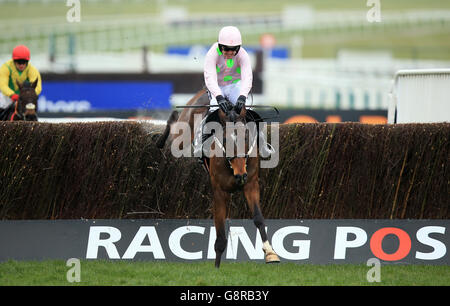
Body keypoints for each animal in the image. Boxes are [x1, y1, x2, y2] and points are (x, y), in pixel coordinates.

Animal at [156, 89, 280, 268]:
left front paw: (270, 253)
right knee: (173, 129)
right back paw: (164, 130)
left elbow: (258, 218)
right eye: (226, 139)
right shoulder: (220, 191)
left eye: (246, 137)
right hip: (181, 139)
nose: (240, 175)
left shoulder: (251, 184)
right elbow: (220, 231)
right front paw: (216, 267)